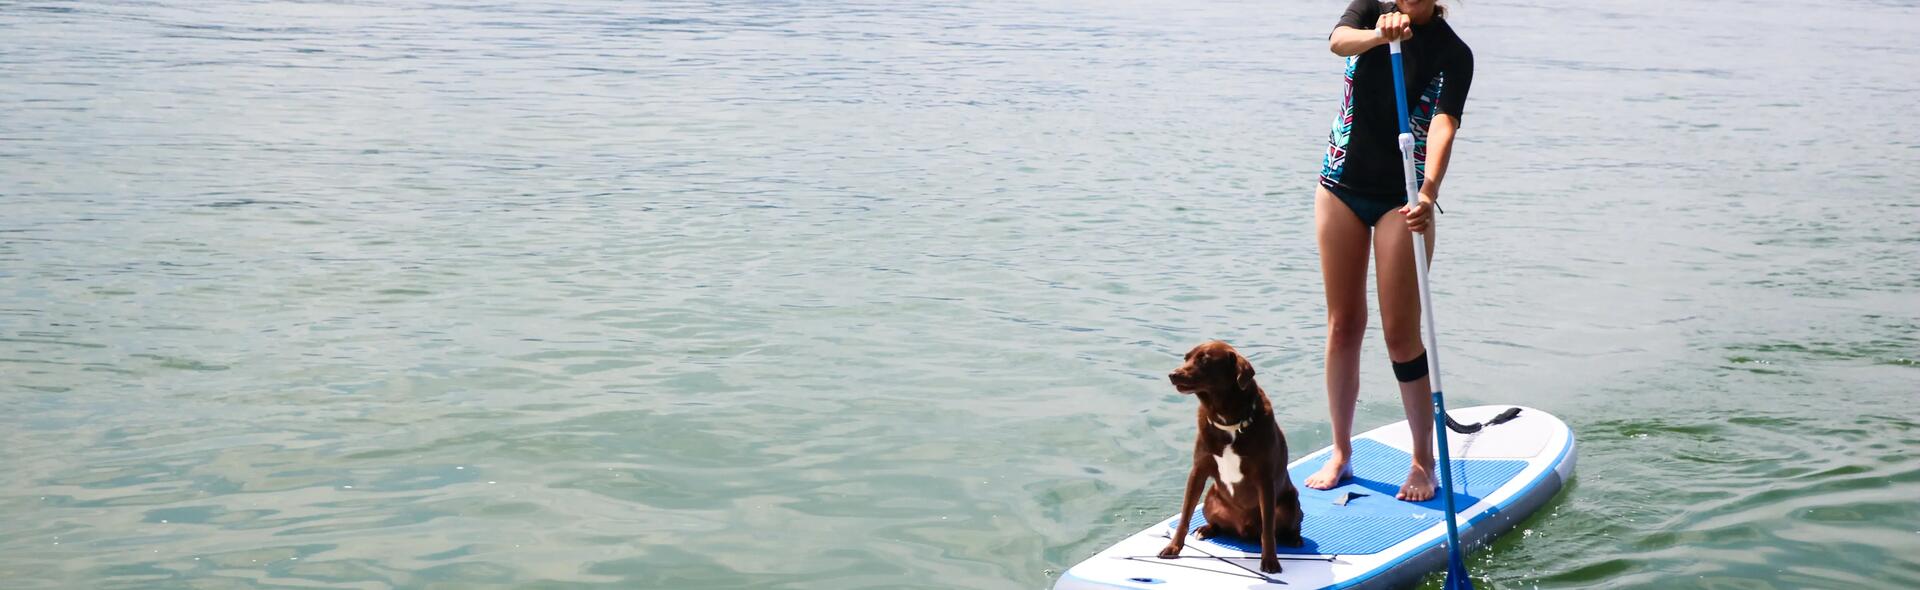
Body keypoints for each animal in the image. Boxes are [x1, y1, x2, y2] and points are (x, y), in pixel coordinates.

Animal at [1152, 340, 1305, 576]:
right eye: (1186, 357)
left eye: (1204, 359)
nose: (1173, 374)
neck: (1229, 421)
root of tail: (1243, 531)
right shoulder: (1197, 472)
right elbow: (1185, 514)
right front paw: (1173, 547)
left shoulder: (1265, 479)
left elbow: (1268, 529)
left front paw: (1270, 560)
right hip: (1210, 499)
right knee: (1218, 523)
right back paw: (1206, 529)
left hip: (1290, 502)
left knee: (1285, 526)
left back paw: (1294, 539)